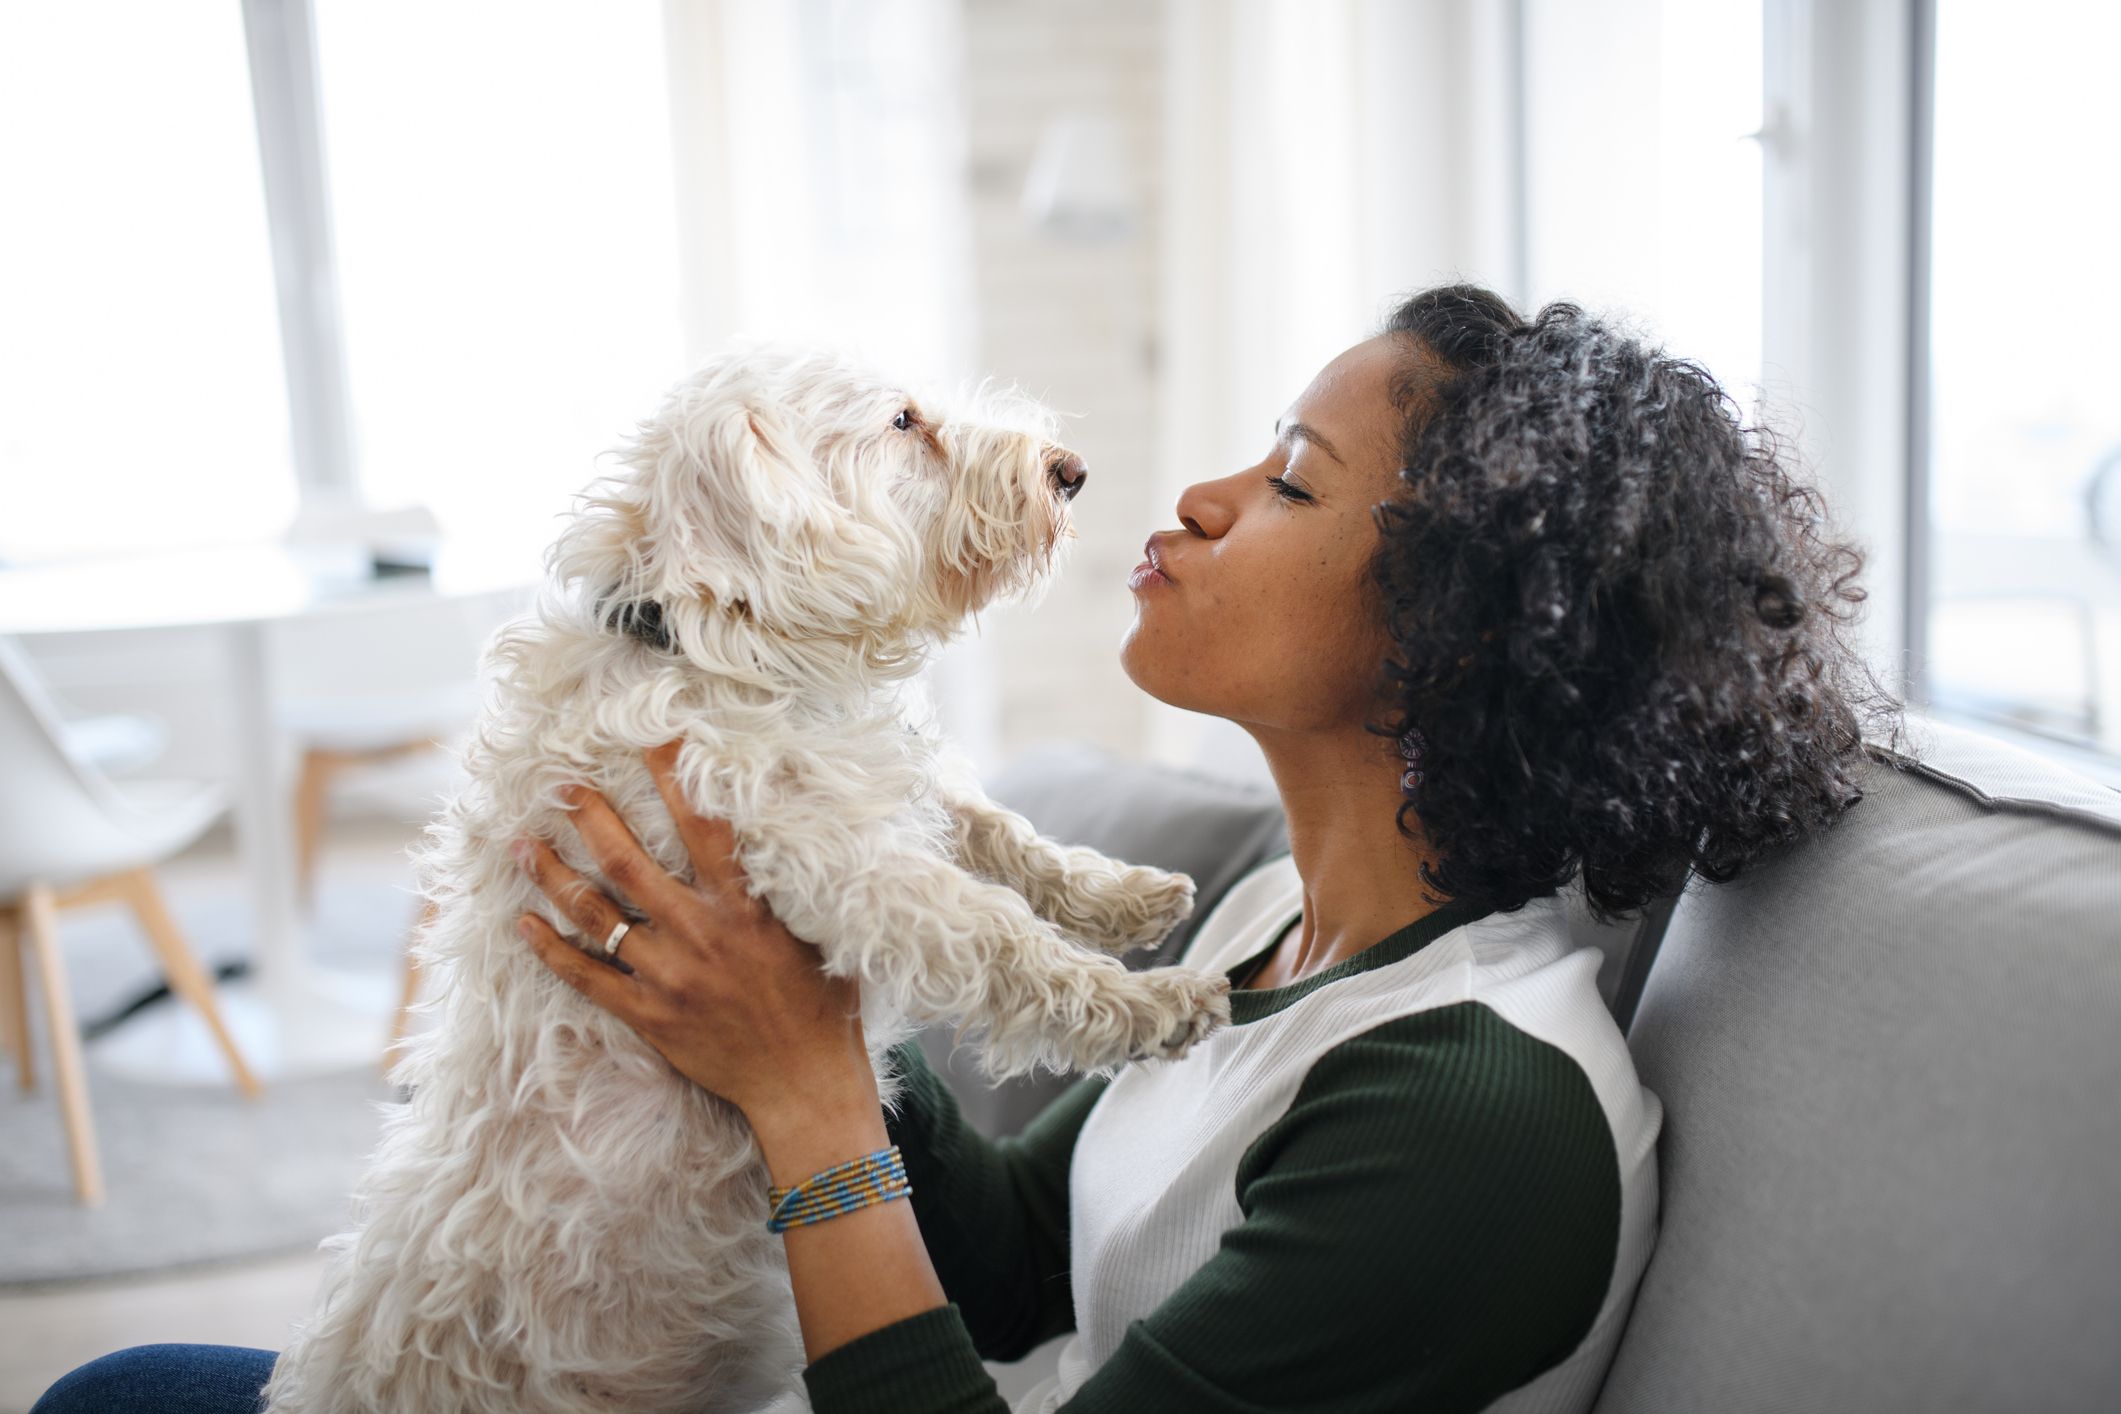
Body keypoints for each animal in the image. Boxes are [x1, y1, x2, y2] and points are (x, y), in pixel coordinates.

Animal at [263, 351, 1230, 1414]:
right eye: (904, 422)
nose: (1070, 471)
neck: (704, 644)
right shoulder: (840, 862)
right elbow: (999, 937)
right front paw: (1156, 1003)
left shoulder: (881, 788)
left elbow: (998, 830)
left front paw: (1128, 895)